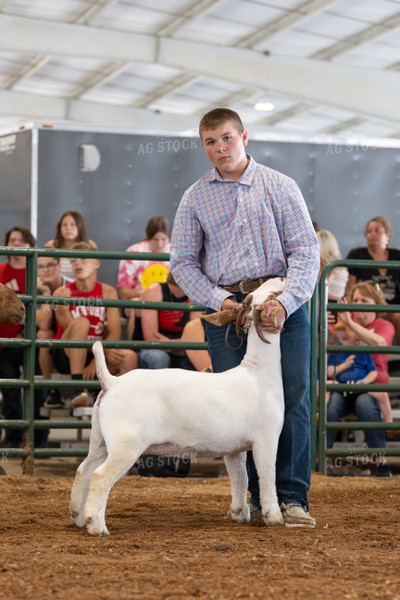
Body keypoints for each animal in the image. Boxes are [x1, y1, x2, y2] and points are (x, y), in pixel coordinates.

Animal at [70, 276, 286, 536]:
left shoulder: (234, 448)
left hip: (100, 440)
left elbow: (239, 478)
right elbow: (268, 476)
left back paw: (77, 517)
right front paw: (274, 517)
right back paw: (97, 525)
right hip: (126, 444)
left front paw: (239, 513)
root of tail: (112, 382)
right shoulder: (266, 438)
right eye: (272, 295)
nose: (282, 277)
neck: (258, 371)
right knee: (100, 476)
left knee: (84, 470)